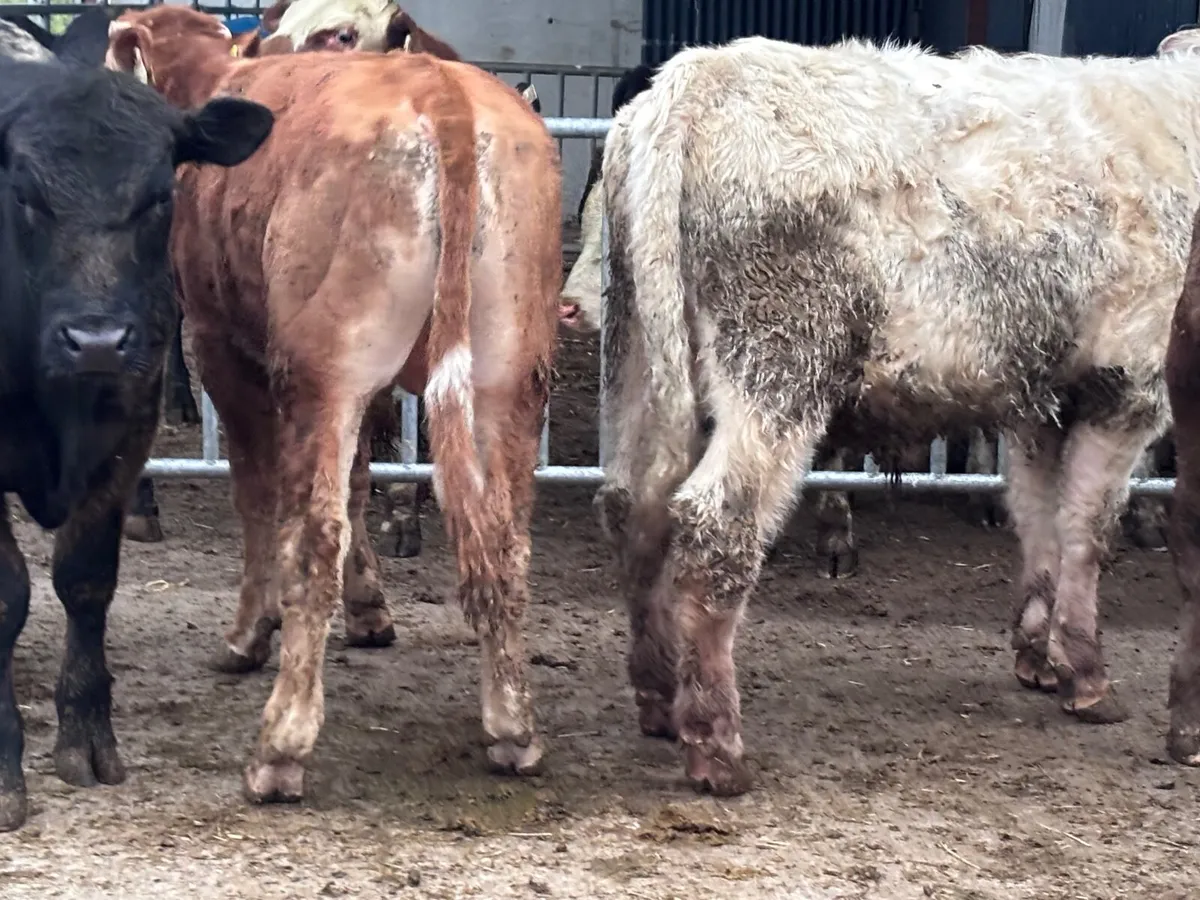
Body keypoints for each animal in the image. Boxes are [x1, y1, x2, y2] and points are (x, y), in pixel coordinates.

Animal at [0, 39, 273, 833]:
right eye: (23, 194)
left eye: (158, 195)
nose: (96, 340)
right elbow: (7, 595)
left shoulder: (127, 429)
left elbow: (86, 580)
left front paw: (87, 736)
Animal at [105, 5, 562, 803]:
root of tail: (441, 94)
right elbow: (358, 480)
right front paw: (371, 611)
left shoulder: (220, 344)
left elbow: (258, 497)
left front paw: (249, 633)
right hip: (508, 372)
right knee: (504, 537)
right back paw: (513, 728)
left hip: (324, 369)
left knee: (314, 535)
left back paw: (280, 747)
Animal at [596, 35, 1200, 795]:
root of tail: (703, 74)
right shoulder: (1129, 381)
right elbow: (1088, 532)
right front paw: (1087, 675)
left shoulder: (1041, 400)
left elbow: (1040, 520)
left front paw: (1039, 653)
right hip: (778, 365)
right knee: (716, 525)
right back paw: (716, 745)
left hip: (639, 354)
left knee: (635, 505)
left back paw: (658, 698)